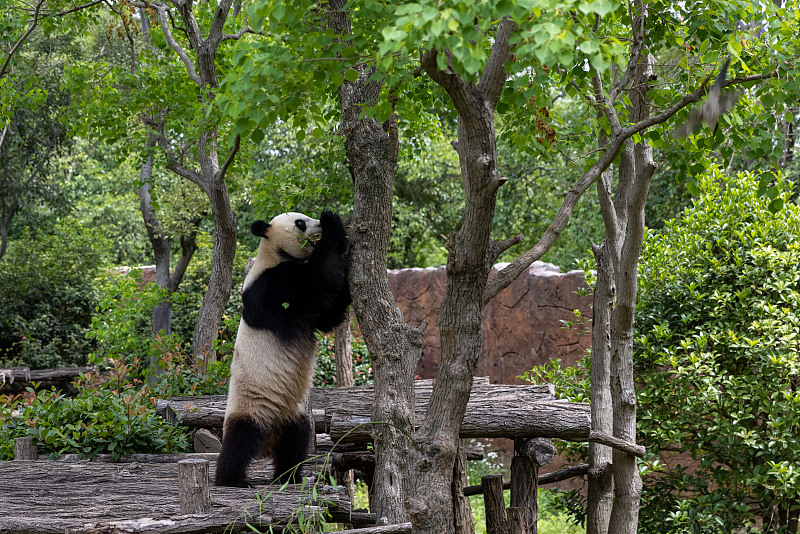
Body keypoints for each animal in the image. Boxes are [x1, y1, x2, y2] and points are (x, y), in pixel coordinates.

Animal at [214, 211, 348, 488]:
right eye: (300, 222)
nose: (318, 225)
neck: (273, 253)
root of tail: (268, 443)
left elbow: (327, 316)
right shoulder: (271, 285)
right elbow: (316, 283)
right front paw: (332, 222)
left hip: (291, 414)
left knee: (296, 440)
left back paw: (289, 476)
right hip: (251, 407)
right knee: (240, 441)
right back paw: (232, 479)